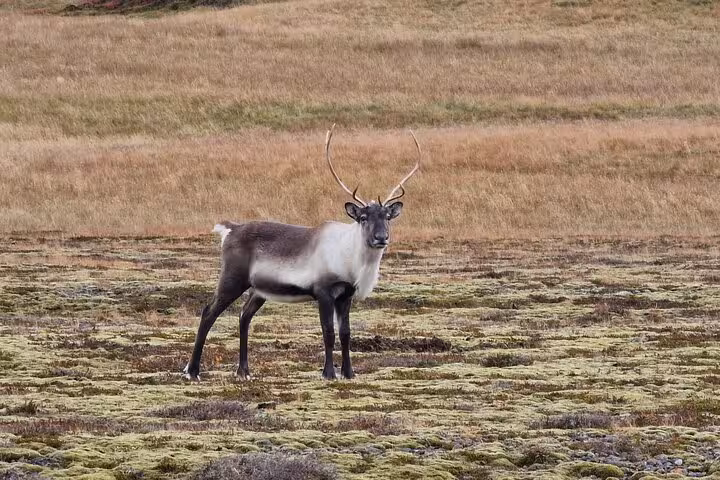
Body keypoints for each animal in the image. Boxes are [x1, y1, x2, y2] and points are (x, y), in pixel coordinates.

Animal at [183, 125, 421, 381]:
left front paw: (349, 373)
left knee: (244, 316)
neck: (351, 263)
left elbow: (346, 333)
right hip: (232, 278)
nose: (381, 237)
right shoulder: (323, 291)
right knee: (208, 313)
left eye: (387, 217)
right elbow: (328, 331)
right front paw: (329, 373)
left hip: (258, 290)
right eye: (363, 217)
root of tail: (229, 229)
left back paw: (244, 371)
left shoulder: (345, 295)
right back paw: (192, 371)